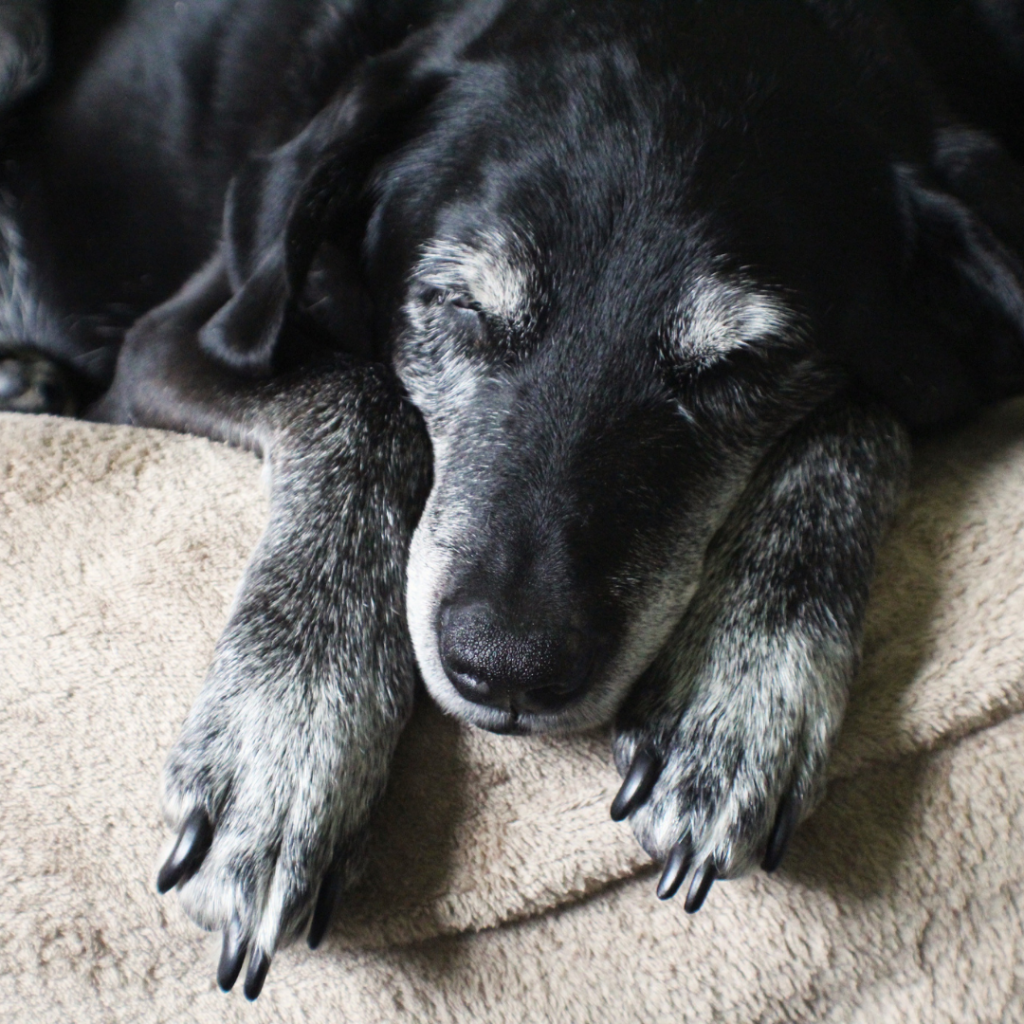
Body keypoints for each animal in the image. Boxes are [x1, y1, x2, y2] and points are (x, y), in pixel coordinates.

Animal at [2, 0, 1024, 999]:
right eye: (457, 305)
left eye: (744, 362)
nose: (508, 671)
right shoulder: (185, 341)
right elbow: (366, 399)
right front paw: (290, 739)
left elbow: (861, 412)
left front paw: (746, 679)